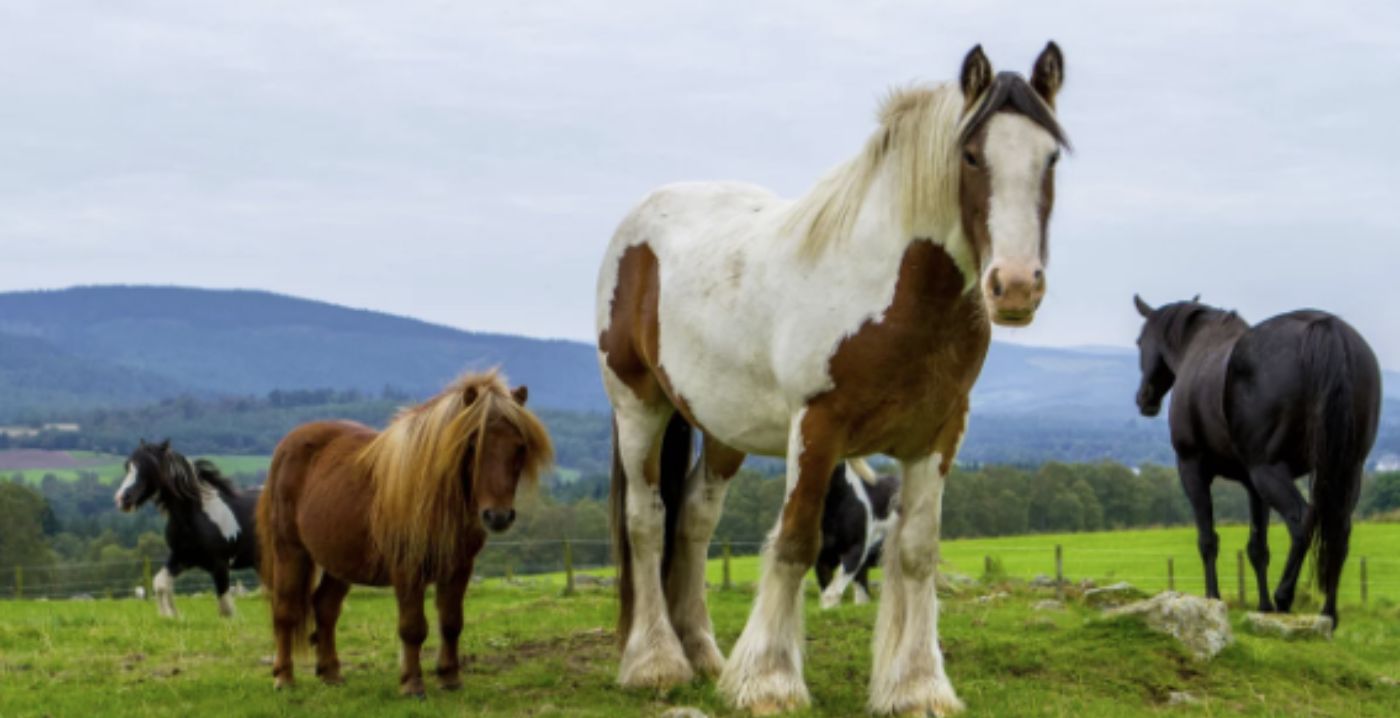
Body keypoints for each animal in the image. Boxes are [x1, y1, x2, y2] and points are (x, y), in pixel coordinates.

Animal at [114, 436, 260, 615]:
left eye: (151, 467)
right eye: (128, 466)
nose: (122, 499)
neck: (195, 517)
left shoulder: (220, 564)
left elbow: (226, 609)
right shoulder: (181, 557)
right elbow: (160, 584)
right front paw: (170, 615)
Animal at [257, 369, 551, 694]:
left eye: (520, 446)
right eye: (472, 444)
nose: (497, 516)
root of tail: (287, 445)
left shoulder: (459, 568)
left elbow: (451, 622)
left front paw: (450, 677)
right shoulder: (407, 569)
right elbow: (413, 627)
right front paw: (412, 683)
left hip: (339, 560)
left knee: (325, 608)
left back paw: (331, 673)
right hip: (290, 551)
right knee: (285, 611)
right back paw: (284, 678)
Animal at [1131, 293, 1383, 624]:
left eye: (1140, 341)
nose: (1144, 398)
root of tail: (1326, 329)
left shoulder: (1193, 468)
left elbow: (1207, 539)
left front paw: (1213, 598)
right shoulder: (1252, 485)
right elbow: (1257, 548)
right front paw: (1262, 607)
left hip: (1270, 470)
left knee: (1302, 521)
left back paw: (1284, 595)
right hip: (1346, 470)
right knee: (1338, 531)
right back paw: (1328, 613)